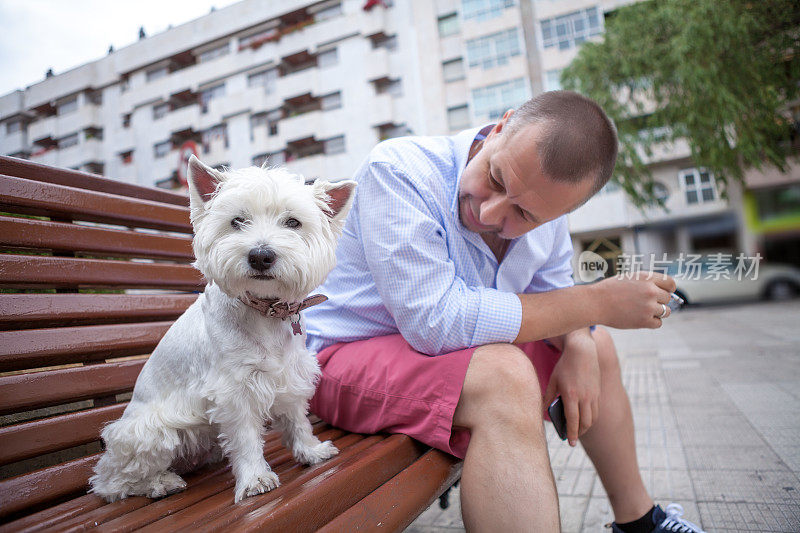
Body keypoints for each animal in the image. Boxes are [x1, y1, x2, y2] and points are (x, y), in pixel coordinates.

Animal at [87, 155, 356, 502]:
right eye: (237, 221)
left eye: (293, 223)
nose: (260, 256)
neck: (265, 311)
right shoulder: (234, 390)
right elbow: (245, 437)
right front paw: (255, 478)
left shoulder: (291, 374)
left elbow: (297, 420)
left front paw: (310, 451)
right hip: (150, 432)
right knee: (110, 482)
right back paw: (161, 483)